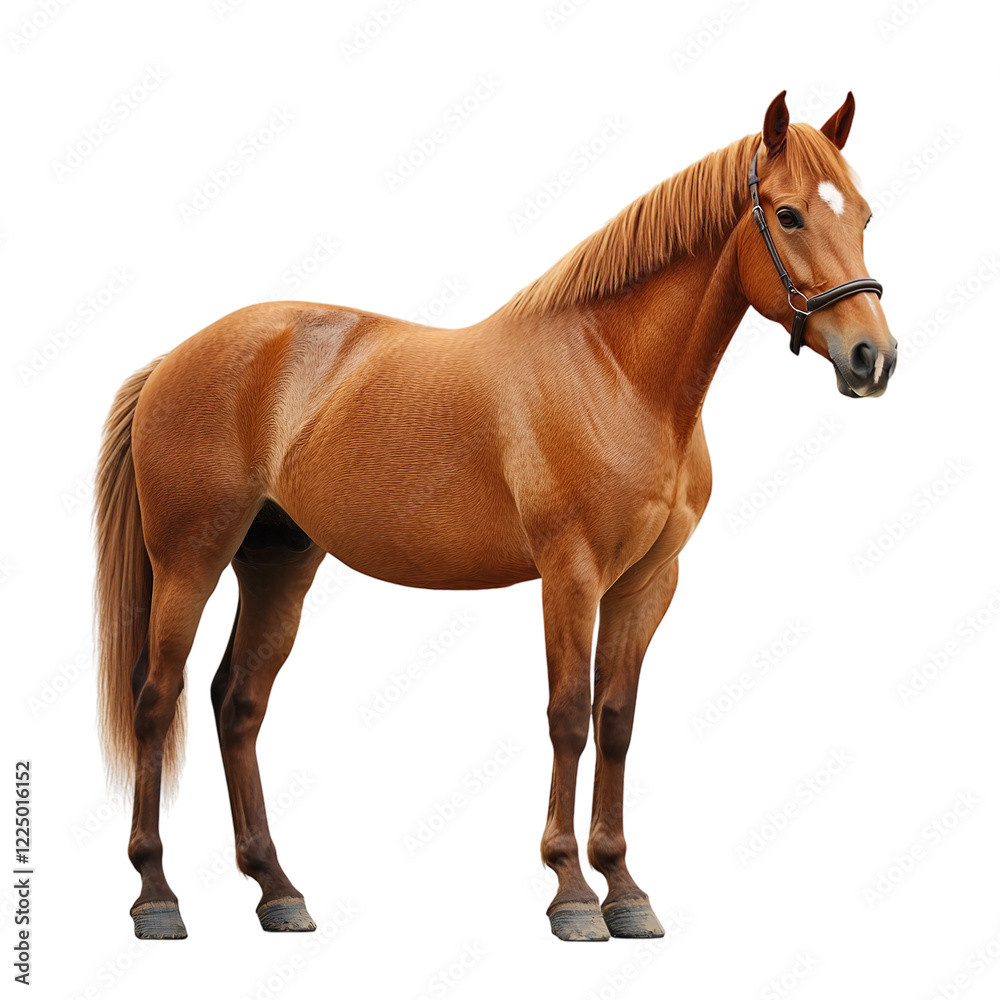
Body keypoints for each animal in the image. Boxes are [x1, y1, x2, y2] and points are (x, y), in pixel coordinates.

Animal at [94, 90, 896, 942]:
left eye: (864, 215)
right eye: (788, 214)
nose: (873, 359)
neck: (616, 371)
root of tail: (175, 359)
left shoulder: (647, 583)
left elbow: (616, 720)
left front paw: (626, 891)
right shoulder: (570, 576)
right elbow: (568, 716)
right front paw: (572, 892)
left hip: (278, 561)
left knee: (237, 703)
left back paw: (277, 889)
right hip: (191, 560)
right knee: (157, 700)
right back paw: (156, 896)